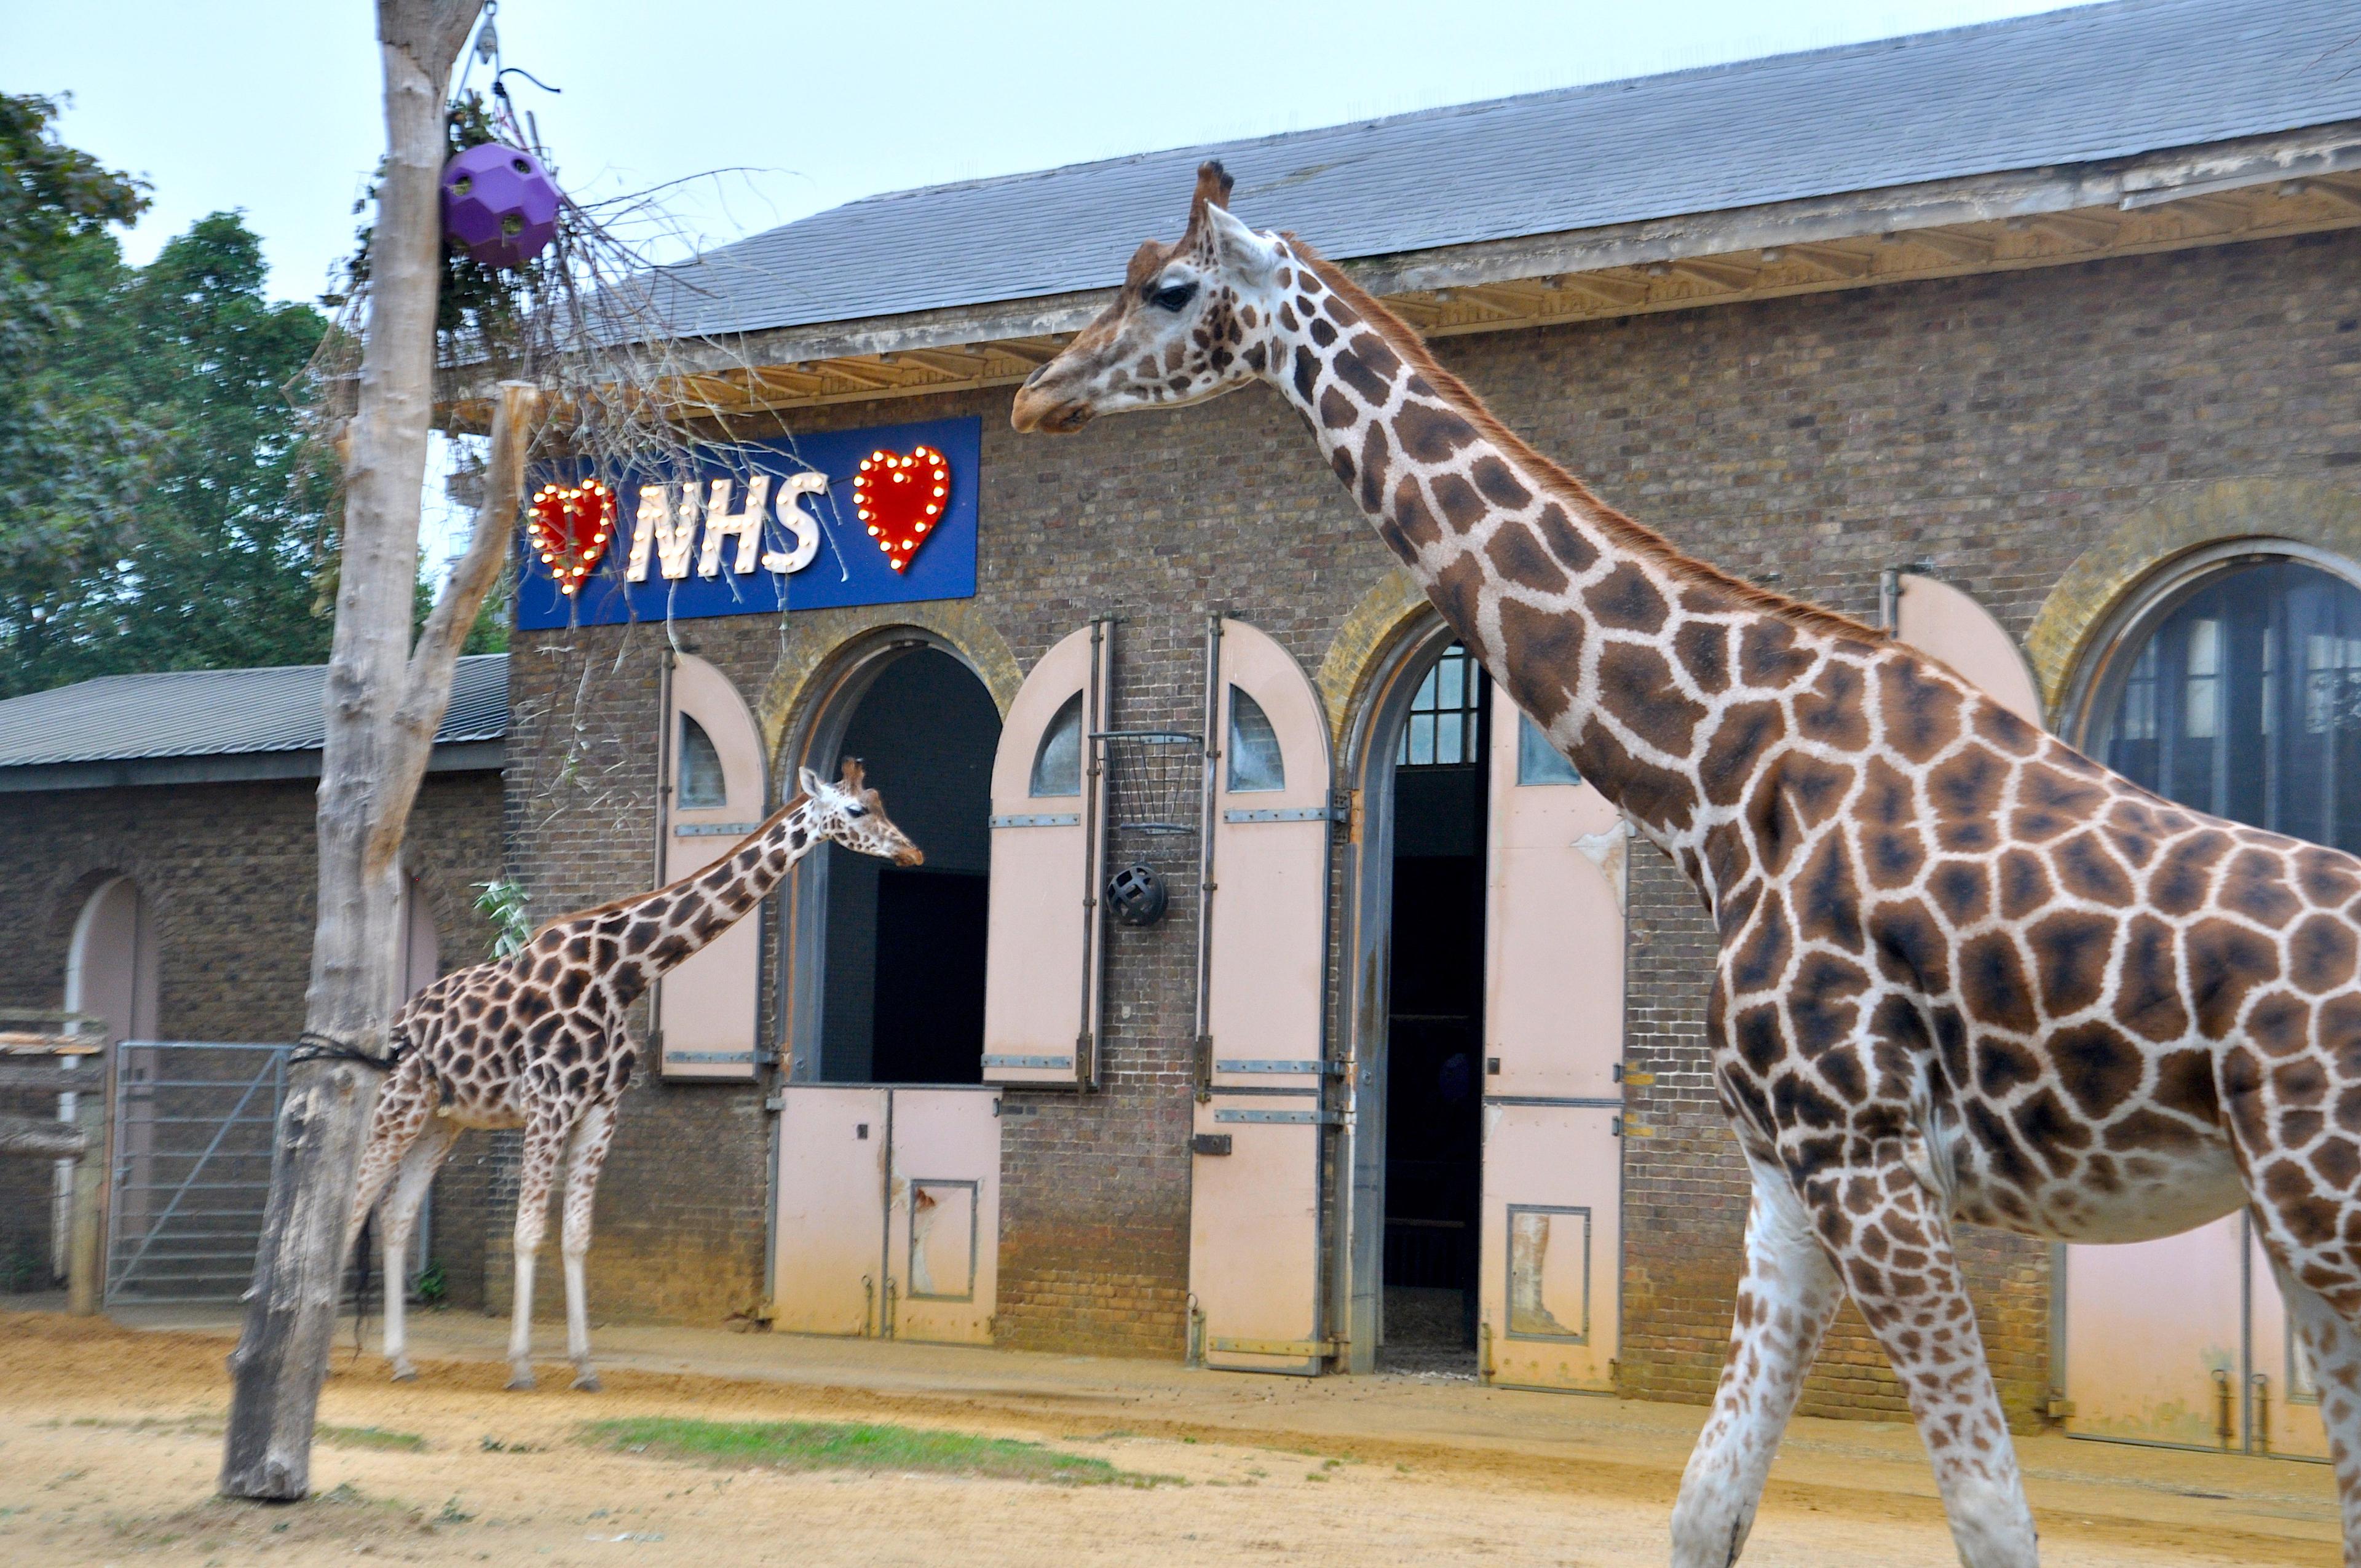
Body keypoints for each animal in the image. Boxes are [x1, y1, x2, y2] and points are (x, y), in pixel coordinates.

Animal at [342, 758, 920, 1393]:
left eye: (883, 802)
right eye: (856, 810)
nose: (912, 852)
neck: (622, 974)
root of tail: (390, 1025)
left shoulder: (600, 1111)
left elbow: (576, 1238)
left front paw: (584, 1366)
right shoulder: (549, 1106)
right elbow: (526, 1232)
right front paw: (521, 1366)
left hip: (442, 1121)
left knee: (395, 1215)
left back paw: (400, 1359)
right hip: (396, 1108)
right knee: (350, 1207)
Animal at [1013, 161, 2361, 1566]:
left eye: (1170, 289)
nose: (1037, 392)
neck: (1724, 784)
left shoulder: (1866, 1149)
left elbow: (1990, 1516)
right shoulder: (1785, 1170)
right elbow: (1706, 1501)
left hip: (2325, 1211)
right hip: (2297, 1232)